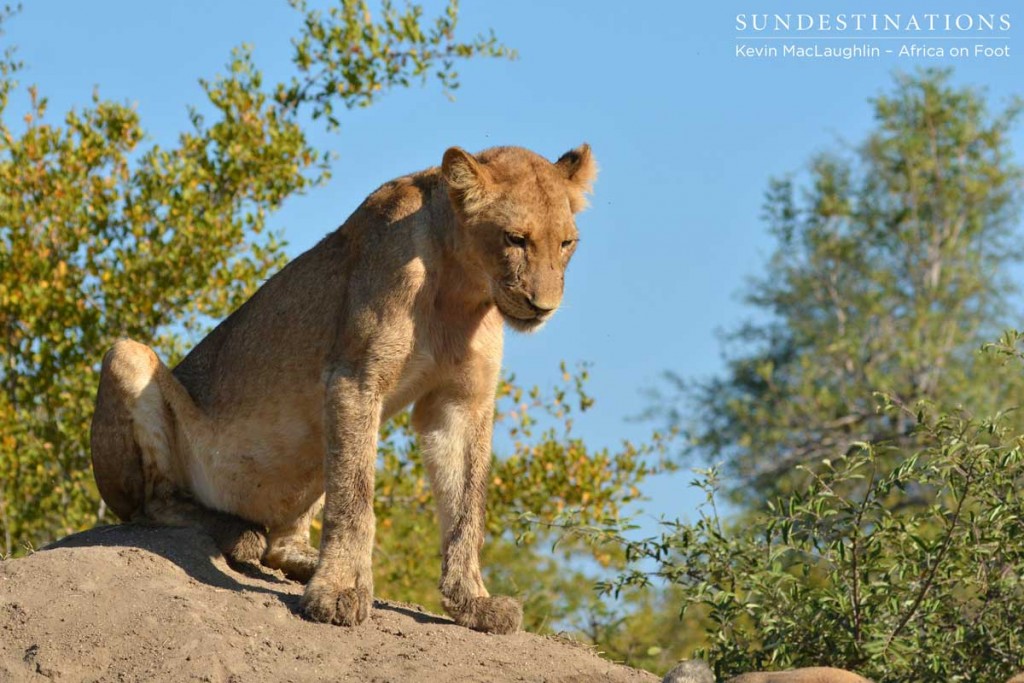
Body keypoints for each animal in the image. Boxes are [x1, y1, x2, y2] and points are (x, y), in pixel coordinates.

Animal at [94, 144, 598, 634]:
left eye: (567, 243)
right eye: (515, 239)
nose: (543, 306)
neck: (462, 291)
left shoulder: (460, 402)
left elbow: (466, 508)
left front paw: (472, 602)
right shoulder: (355, 380)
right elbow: (355, 497)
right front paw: (338, 592)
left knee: (280, 543)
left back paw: (300, 558)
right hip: (124, 355)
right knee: (151, 505)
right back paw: (234, 532)